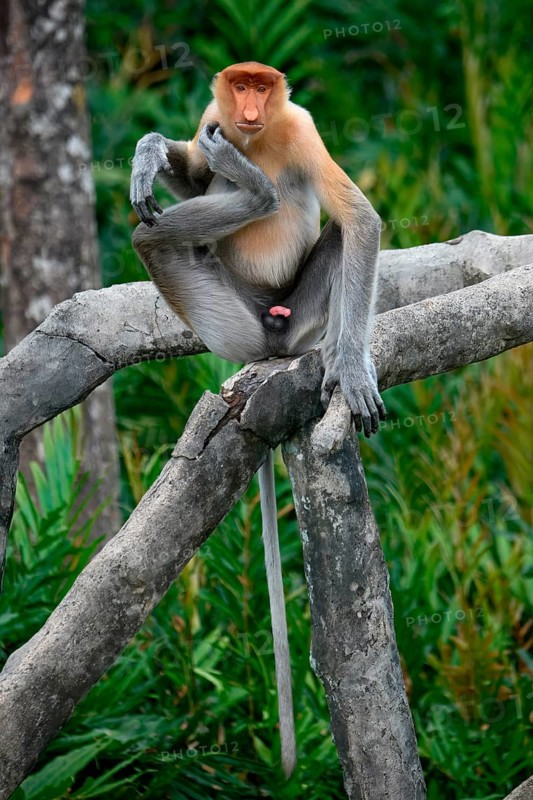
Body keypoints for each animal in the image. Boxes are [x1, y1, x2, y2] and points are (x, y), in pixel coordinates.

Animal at [130, 62, 386, 777]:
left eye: (262, 87)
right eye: (238, 85)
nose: (245, 108)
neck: (259, 136)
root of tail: (264, 345)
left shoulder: (300, 128)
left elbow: (359, 219)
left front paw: (355, 371)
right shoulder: (210, 117)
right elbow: (189, 178)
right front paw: (150, 154)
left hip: (289, 317)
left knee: (328, 235)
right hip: (225, 312)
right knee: (156, 233)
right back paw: (245, 184)